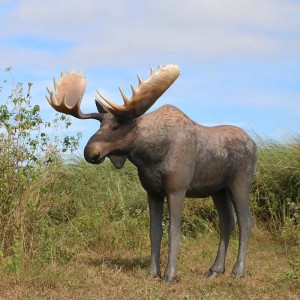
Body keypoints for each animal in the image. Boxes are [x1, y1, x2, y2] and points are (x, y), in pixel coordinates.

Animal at [45, 64, 256, 282]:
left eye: (116, 126)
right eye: (100, 125)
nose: (90, 152)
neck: (149, 155)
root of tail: (254, 144)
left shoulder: (177, 189)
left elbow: (174, 230)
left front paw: (170, 275)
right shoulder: (153, 192)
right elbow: (154, 231)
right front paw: (152, 272)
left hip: (240, 183)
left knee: (246, 220)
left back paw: (238, 271)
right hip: (218, 190)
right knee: (227, 221)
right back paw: (215, 270)